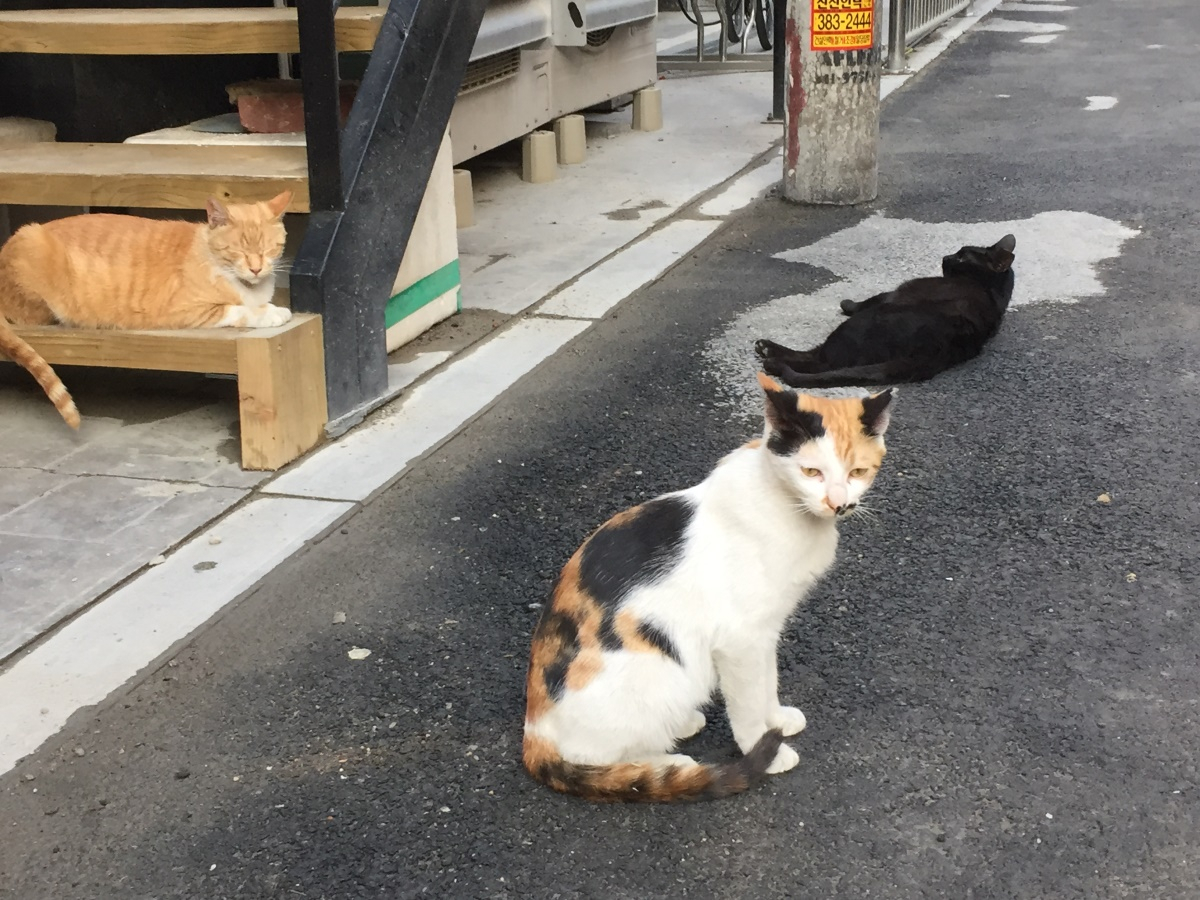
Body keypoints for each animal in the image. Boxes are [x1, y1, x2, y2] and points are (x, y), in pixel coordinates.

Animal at [1, 190, 295, 429]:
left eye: (270, 249)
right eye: (237, 251)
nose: (256, 268)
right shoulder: (186, 311)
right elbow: (240, 309)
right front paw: (272, 312)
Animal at [520, 374, 897, 801]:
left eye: (858, 472)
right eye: (811, 471)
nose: (839, 504)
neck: (786, 506)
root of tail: (534, 735)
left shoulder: (766, 630)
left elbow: (768, 681)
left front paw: (776, 720)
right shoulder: (739, 640)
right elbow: (747, 703)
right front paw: (764, 749)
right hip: (661, 668)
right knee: (601, 761)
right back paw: (670, 764)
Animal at [753, 234, 1017, 388]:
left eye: (962, 257)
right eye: (957, 253)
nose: (945, 257)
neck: (990, 289)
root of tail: (939, 349)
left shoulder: (894, 293)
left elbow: (870, 298)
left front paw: (847, 303)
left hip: (863, 322)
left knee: (821, 361)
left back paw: (771, 358)